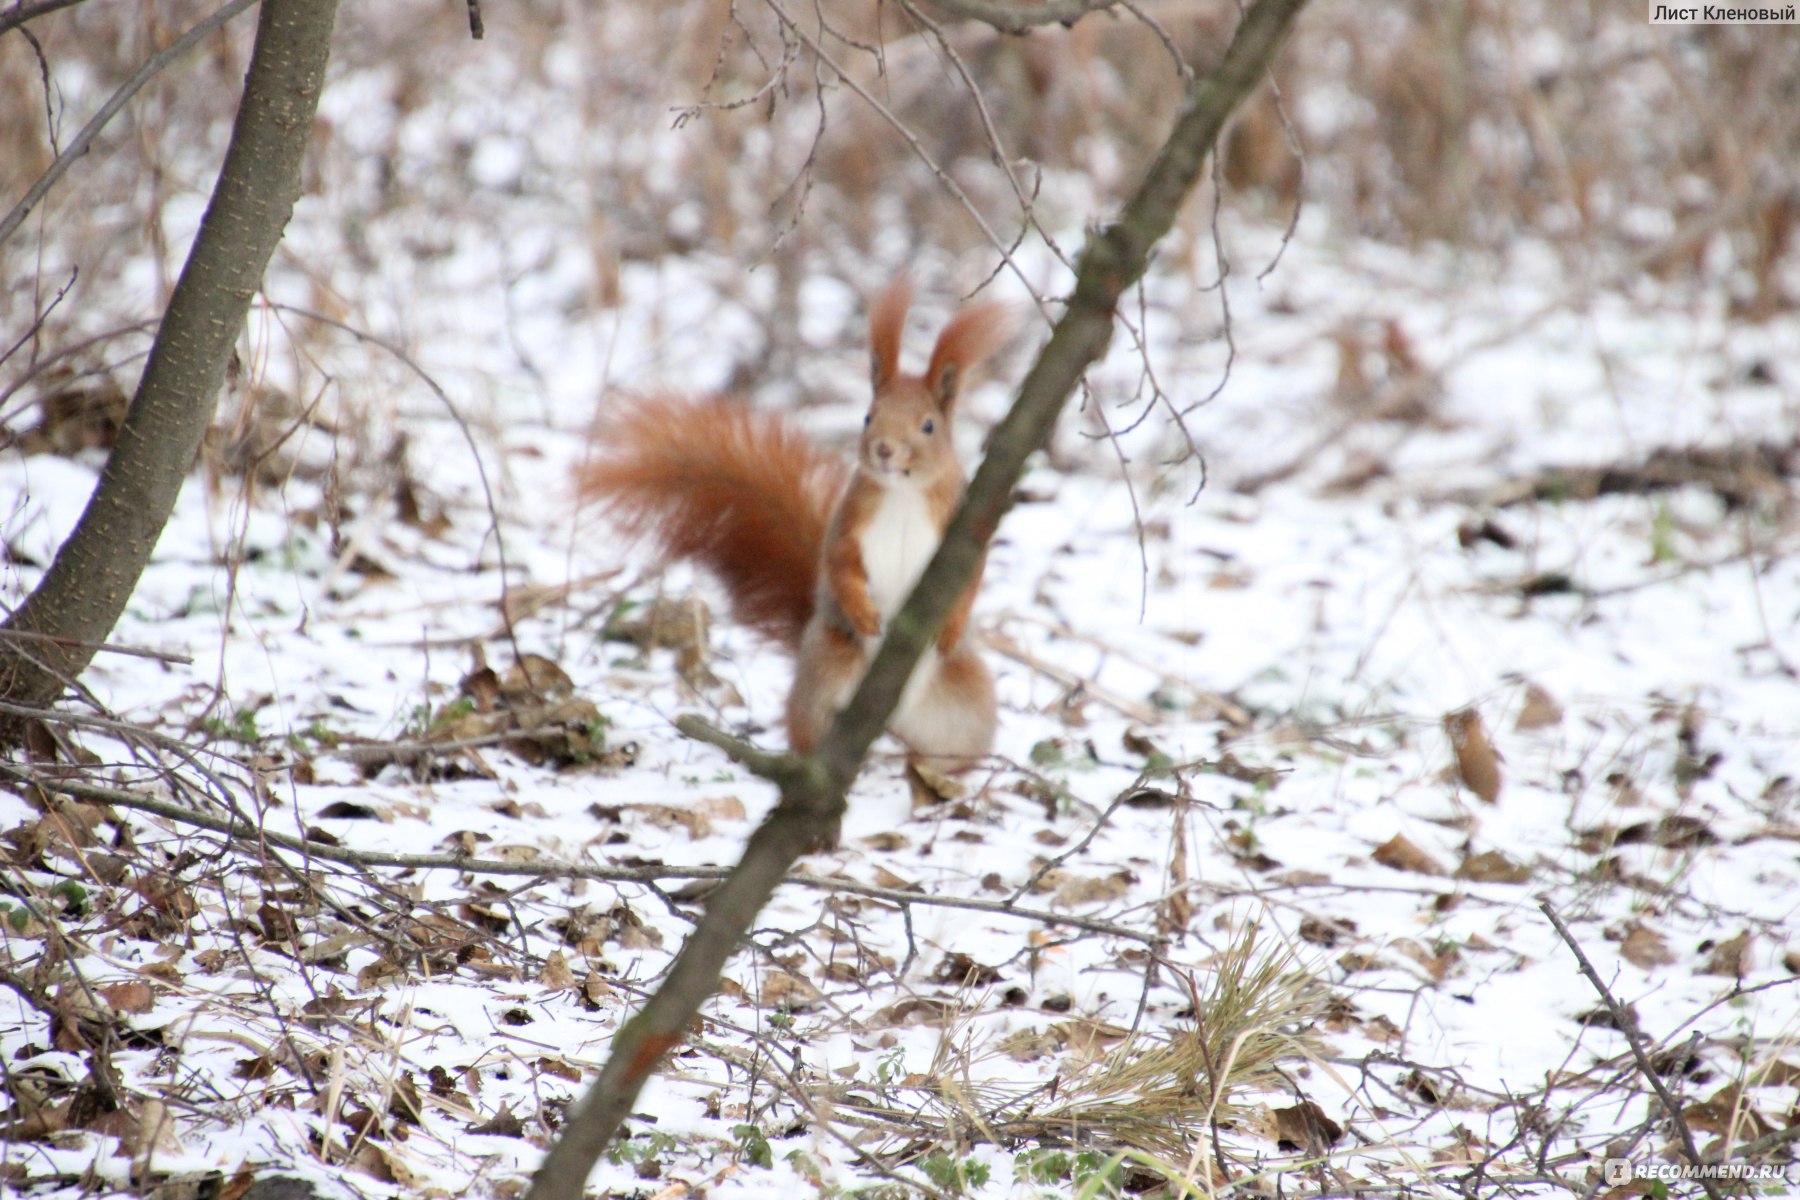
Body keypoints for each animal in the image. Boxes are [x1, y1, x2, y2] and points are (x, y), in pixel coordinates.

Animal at [579, 278, 1015, 770]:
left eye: (928, 427)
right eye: (868, 416)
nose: (884, 449)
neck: (902, 492)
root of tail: (889, 722)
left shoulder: (962, 527)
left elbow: (973, 575)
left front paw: (952, 625)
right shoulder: (850, 523)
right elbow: (840, 564)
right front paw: (864, 613)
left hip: (966, 703)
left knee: (950, 754)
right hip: (826, 673)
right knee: (813, 729)